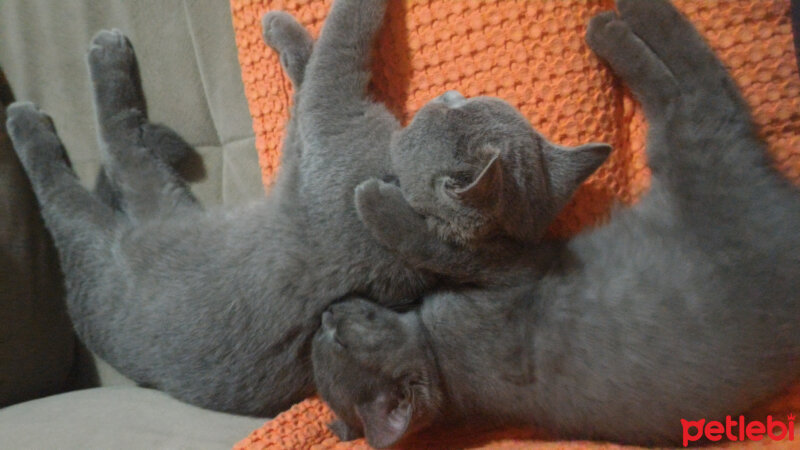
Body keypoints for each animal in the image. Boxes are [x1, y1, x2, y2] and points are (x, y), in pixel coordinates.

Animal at [4, 0, 608, 414]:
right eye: (459, 103)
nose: (446, 95)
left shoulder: (329, 118)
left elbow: (338, 44)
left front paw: (282, 25)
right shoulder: (317, 133)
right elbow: (313, 66)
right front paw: (287, 35)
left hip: (131, 217)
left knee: (110, 154)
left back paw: (52, 99)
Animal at [310, 0, 800, 446]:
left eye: (337, 339)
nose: (326, 315)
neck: (443, 364)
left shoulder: (512, 271)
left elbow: (440, 247)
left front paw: (373, 200)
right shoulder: (512, 273)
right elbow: (443, 247)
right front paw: (376, 199)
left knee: (697, 84)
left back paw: (618, 19)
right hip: (702, 155)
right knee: (694, 91)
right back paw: (615, 25)